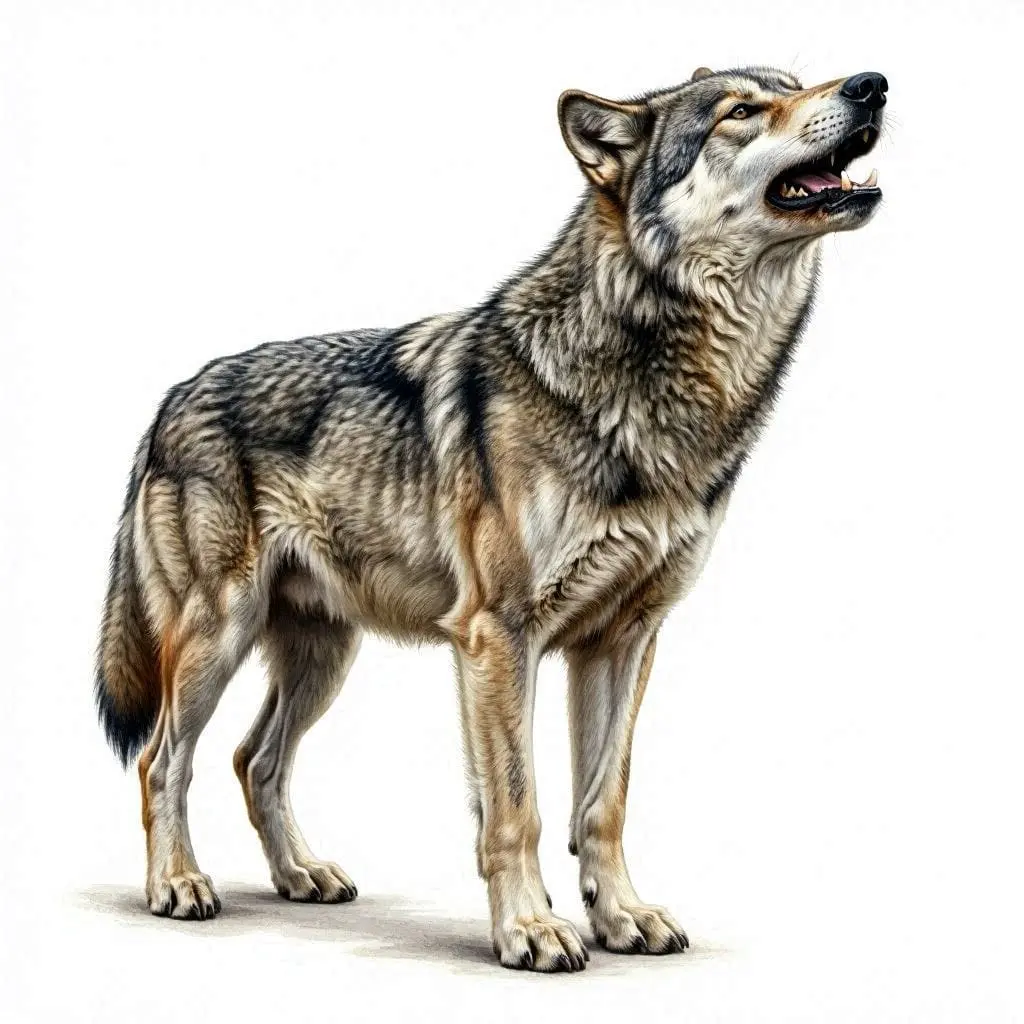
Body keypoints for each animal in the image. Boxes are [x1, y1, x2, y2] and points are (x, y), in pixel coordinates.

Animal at [95, 65, 887, 971]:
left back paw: (301, 875)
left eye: (795, 84)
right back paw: (177, 885)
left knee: (253, 759)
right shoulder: (499, 638)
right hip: (216, 639)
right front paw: (531, 930)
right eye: (742, 112)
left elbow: (603, 803)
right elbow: (519, 806)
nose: (872, 85)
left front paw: (621, 916)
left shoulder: (623, 640)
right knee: (163, 760)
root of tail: (170, 400)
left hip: (325, 656)